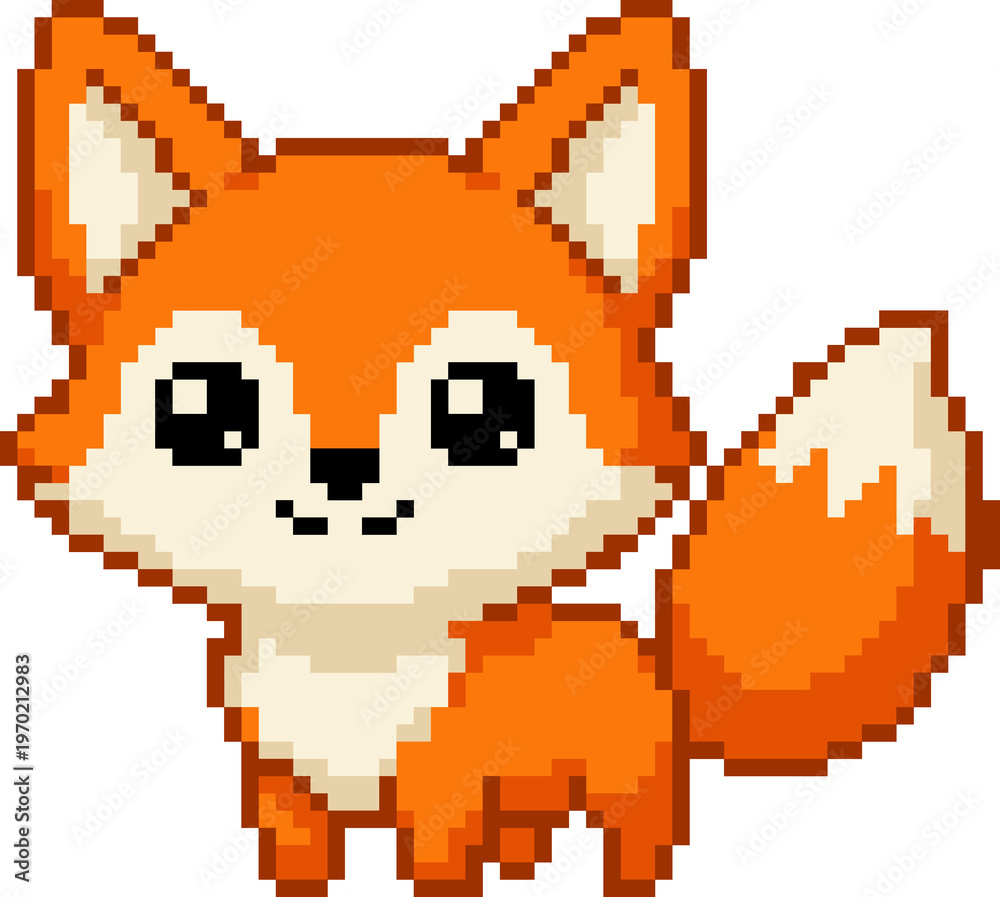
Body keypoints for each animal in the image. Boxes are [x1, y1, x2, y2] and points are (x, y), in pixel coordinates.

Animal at [4, 0, 998, 894]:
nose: (344, 477)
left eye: (480, 411)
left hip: (626, 793)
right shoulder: (284, 793)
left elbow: (440, 871)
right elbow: (299, 865)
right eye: (205, 409)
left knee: (641, 850)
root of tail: (660, 670)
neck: (353, 675)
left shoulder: (442, 802)